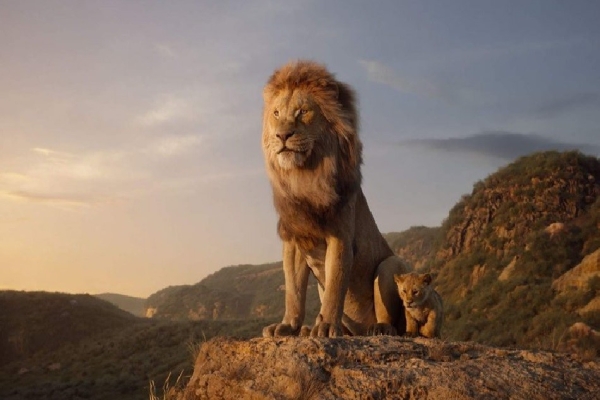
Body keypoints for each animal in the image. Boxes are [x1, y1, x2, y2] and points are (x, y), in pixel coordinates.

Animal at [262, 59, 408, 338]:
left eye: (302, 112)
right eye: (276, 114)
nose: (282, 135)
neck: (305, 177)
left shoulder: (340, 236)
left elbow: (335, 286)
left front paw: (327, 326)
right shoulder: (295, 240)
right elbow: (293, 291)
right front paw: (288, 326)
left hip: (390, 265)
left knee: (394, 322)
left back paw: (379, 328)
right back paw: (310, 328)